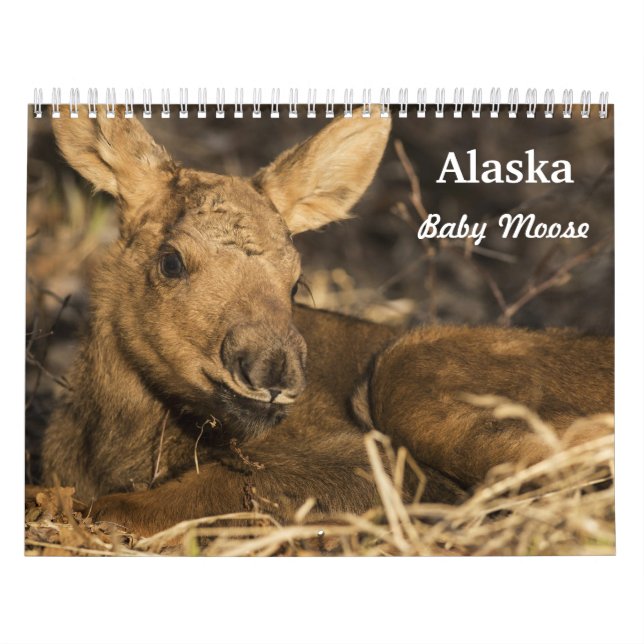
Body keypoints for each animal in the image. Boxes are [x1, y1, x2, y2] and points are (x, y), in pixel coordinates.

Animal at [40, 106, 614, 536]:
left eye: (295, 281)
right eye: (171, 261)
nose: (272, 374)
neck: (116, 437)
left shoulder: (363, 464)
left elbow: (140, 504)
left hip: (407, 374)